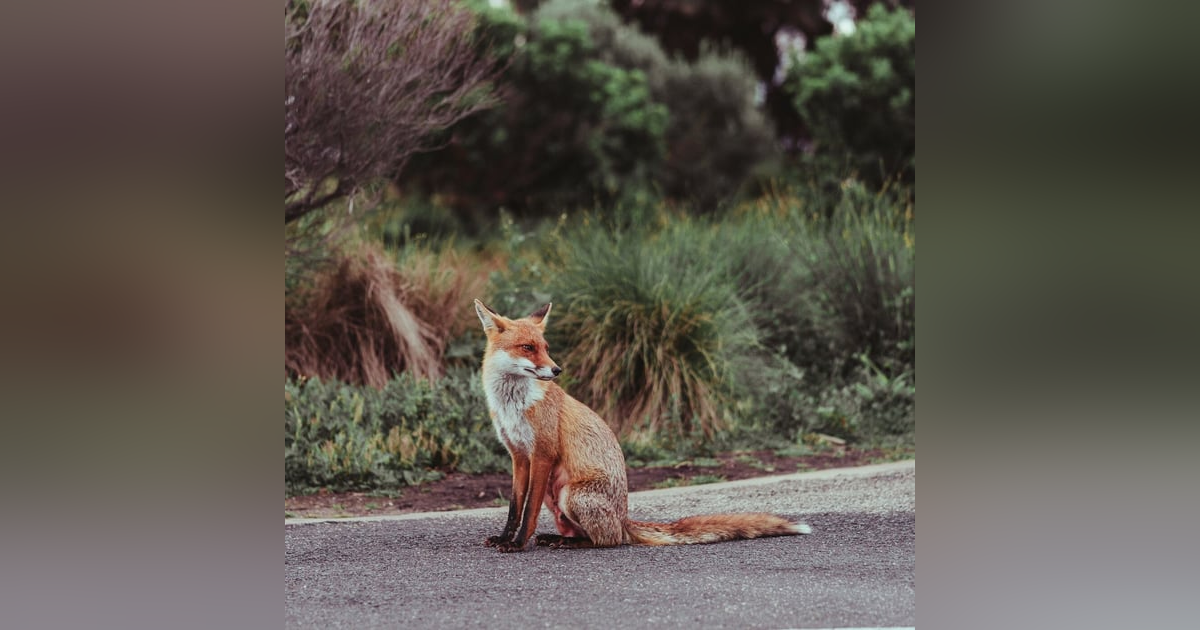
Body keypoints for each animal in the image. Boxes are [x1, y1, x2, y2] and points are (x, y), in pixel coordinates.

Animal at [473, 299, 811, 552]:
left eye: (545, 346)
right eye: (528, 347)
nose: (557, 370)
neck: (513, 406)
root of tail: (624, 519)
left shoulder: (542, 453)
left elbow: (528, 510)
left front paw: (518, 544)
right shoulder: (519, 456)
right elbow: (515, 507)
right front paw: (505, 538)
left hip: (571, 495)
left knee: (607, 540)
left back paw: (571, 542)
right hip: (557, 500)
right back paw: (555, 538)